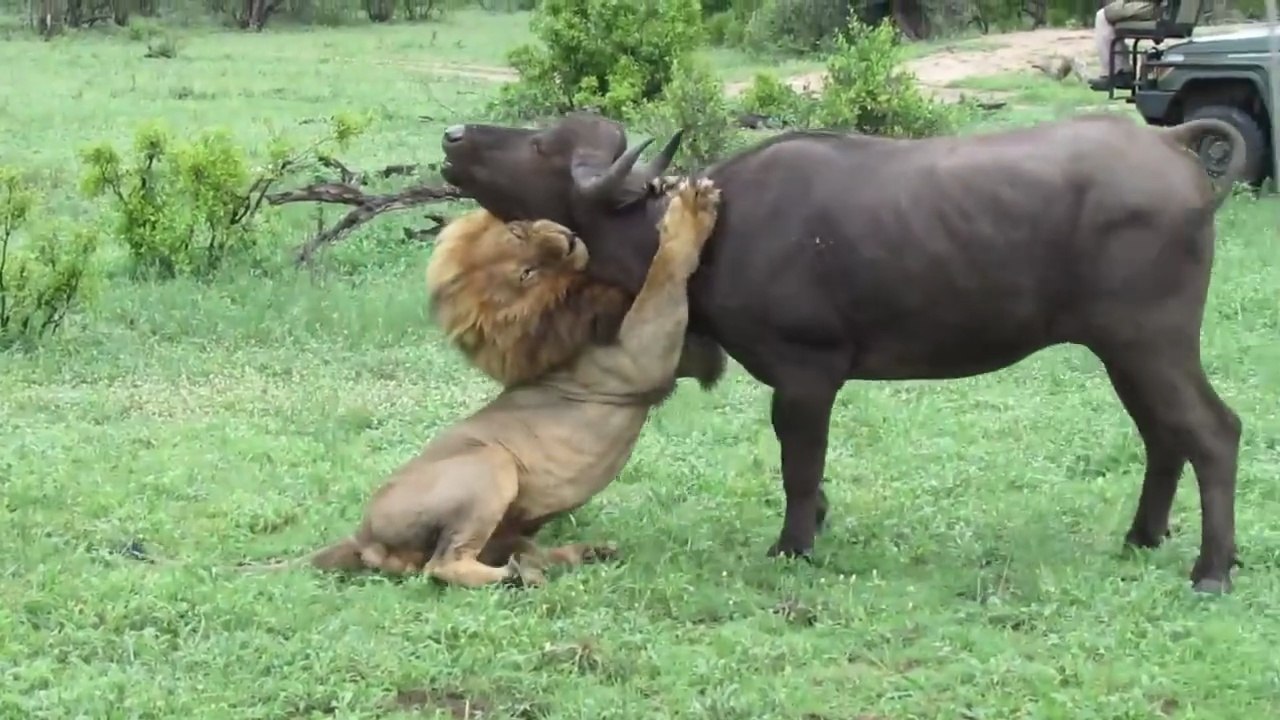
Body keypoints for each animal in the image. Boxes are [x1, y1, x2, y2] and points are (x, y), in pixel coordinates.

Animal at [252, 178, 723, 587]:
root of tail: (361, 533)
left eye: (518, 230)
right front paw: (690, 209)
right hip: (490, 464)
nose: (568, 239)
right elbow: (663, 275)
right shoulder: (639, 356)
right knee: (444, 564)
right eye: (527, 273)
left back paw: (577, 555)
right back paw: (517, 577)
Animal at [439, 111, 1247, 593]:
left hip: (1151, 340)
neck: (719, 230)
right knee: (1163, 436)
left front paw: (794, 544)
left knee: (1213, 432)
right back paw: (1143, 536)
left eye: (540, 144)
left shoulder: (806, 375)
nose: (454, 139)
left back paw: (1211, 569)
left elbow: (799, 465)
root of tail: (1169, 144)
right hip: (1124, 350)